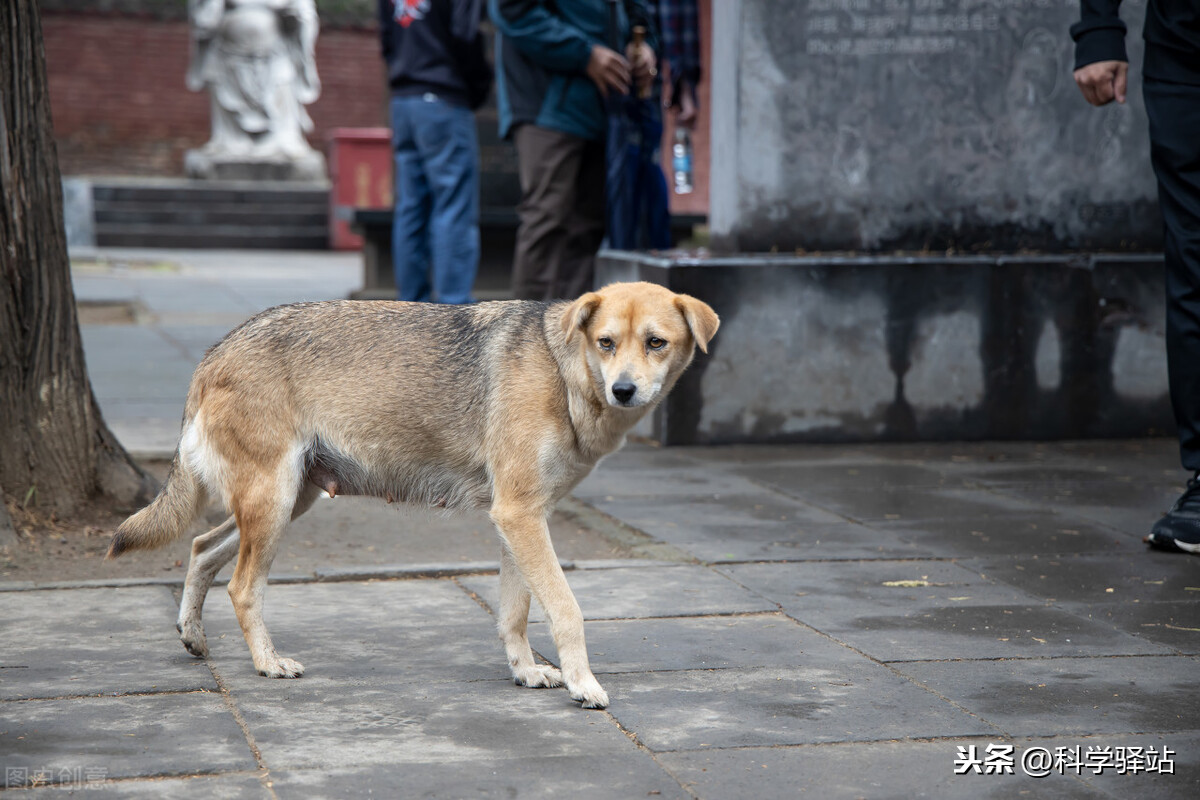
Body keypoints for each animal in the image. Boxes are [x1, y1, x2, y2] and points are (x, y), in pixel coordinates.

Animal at [108, 281, 715, 705]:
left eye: (656, 343)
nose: (624, 390)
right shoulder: (521, 517)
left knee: (200, 549)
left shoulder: (519, 521)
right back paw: (268, 664)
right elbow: (567, 610)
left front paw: (526, 673)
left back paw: (192, 637)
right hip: (273, 507)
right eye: (606, 343)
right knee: (240, 587)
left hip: (285, 505)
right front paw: (582, 684)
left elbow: (515, 614)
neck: (565, 374)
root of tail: (216, 350)